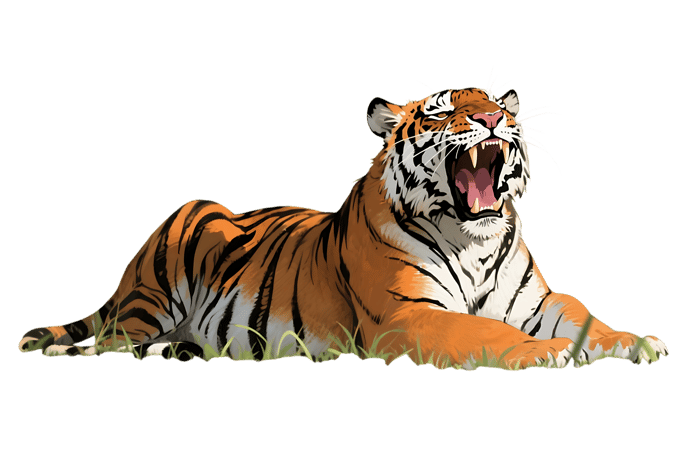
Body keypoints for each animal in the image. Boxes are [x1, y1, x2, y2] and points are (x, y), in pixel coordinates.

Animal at [18, 70, 669, 369]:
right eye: (443, 111)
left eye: (492, 104)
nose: (493, 119)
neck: (473, 240)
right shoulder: (406, 316)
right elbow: (483, 332)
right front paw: (550, 353)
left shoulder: (538, 299)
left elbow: (583, 315)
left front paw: (635, 342)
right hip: (169, 262)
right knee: (108, 344)